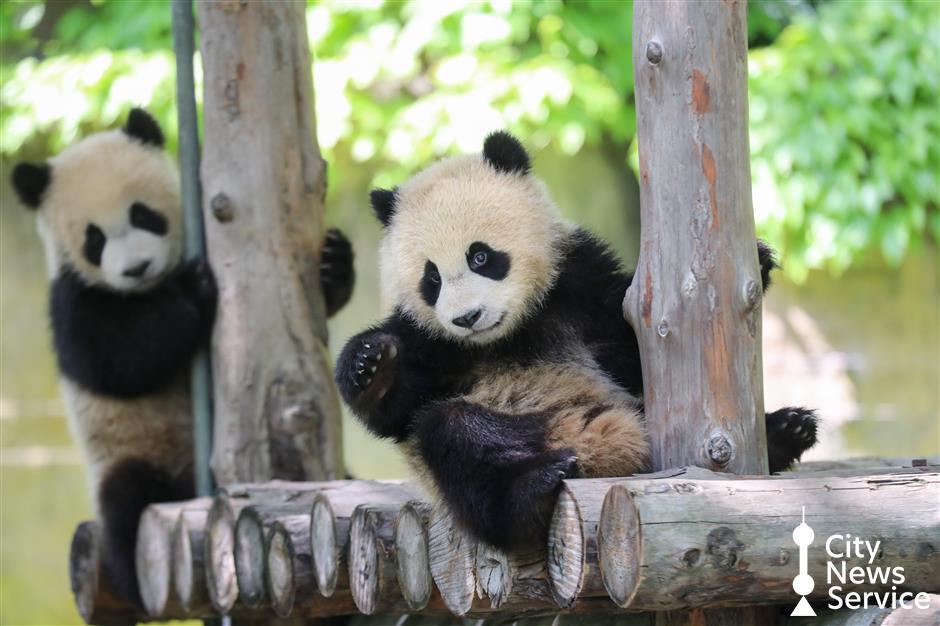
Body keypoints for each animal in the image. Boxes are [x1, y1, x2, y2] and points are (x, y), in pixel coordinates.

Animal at [11, 108, 356, 606]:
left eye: (144, 215)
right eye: (94, 238)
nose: (136, 268)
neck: (147, 289)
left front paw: (333, 262)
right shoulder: (72, 299)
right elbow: (117, 359)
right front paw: (192, 290)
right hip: (127, 452)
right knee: (127, 505)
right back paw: (137, 584)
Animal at [335, 131, 817, 550]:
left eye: (481, 256)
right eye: (431, 278)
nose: (466, 318)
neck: (507, 335)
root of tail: (598, 445)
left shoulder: (577, 281)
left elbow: (632, 346)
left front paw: (760, 260)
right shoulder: (434, 343)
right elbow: (397, 410)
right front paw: (369, 365)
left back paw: (786, 430)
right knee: (452, 437)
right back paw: (532, 490)